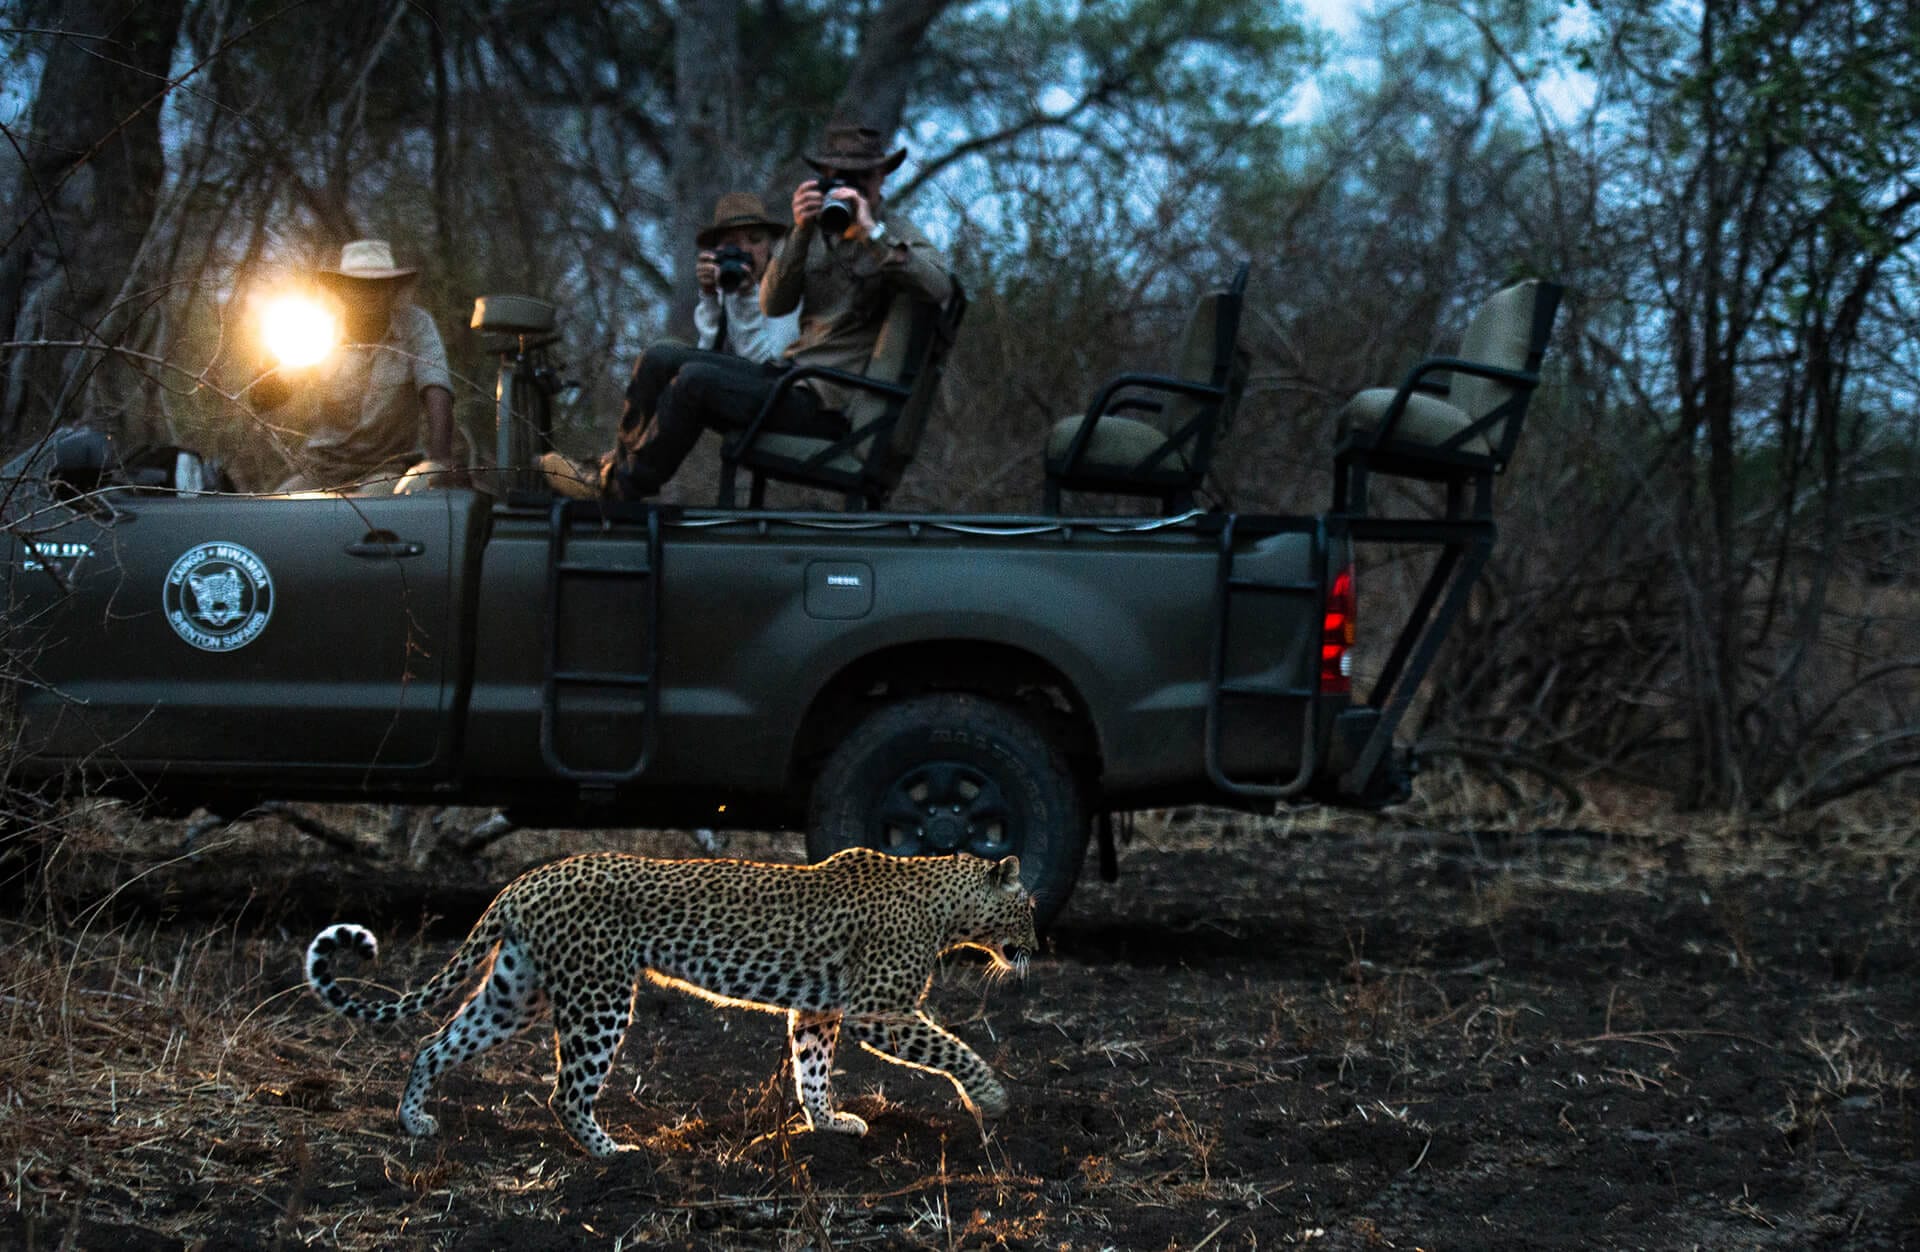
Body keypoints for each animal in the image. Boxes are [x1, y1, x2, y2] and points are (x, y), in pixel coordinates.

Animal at [303, 847, 1038, 1157]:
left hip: (517, 991)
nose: (1036, 945)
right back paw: (613, 1152)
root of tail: (528, 879)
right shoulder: (875, 1009)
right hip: (598, 997)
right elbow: (951, 1047)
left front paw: (827, 1124)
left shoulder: (818, 1011)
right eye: (1028, 907)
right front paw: (993, 1097)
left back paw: (414, 1121)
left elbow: (813, 1071)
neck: (946, 906)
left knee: (434, 1042)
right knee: (564, 1092)